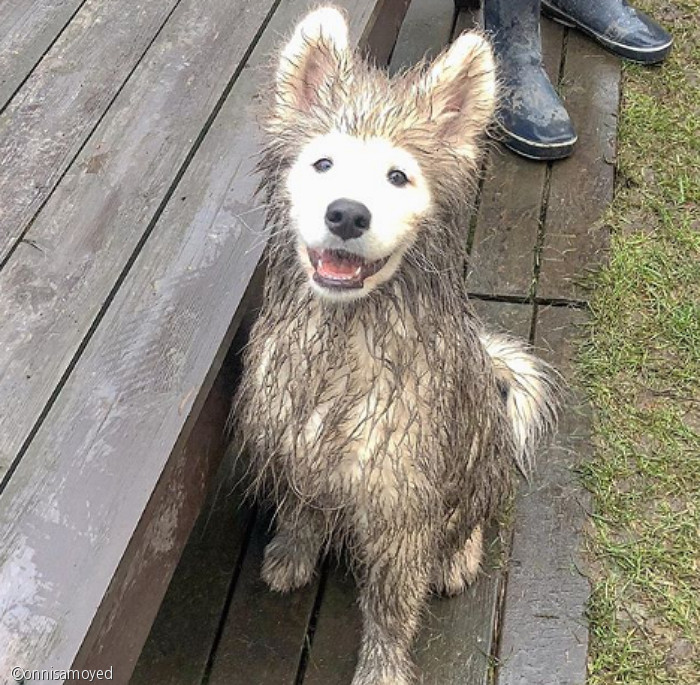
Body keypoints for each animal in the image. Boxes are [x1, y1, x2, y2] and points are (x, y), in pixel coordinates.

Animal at [234, 8, 556, 680]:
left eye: (398, 176)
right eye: (323, 164)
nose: (347, 215)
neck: (343, 342)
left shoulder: (402, 508)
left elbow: (390, 609)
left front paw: (381, 669)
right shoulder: (295, 448)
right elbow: (301, 510)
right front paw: (292, 554)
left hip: (478, 465)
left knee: (470, 519)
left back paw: (457, 558)